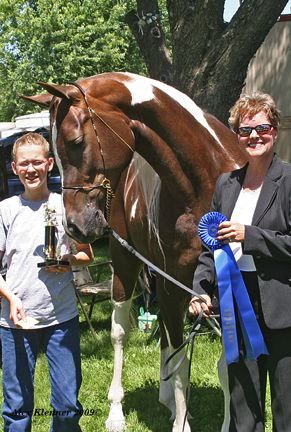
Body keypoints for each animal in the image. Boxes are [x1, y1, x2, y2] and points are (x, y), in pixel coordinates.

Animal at [24, 71, 249, 432]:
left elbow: (226, 365)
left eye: (75, 141)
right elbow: (179, 358)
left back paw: (167, 402)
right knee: (121, 333)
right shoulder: (175, 284)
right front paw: (182, 423)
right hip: (127, 265)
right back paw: (118, 413)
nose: (74, 226)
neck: (206, 178)